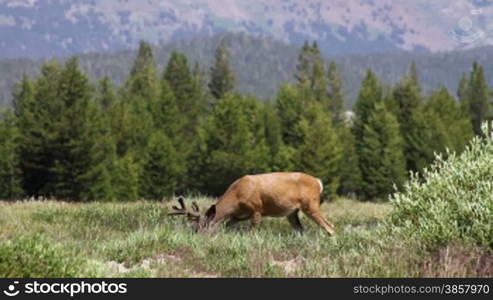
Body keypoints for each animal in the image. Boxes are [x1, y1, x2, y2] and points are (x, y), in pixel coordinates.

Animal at [168, 172, 334, 236]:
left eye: (199, 228)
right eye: (192, 227)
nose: (192, 238)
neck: (236, 196)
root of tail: (319, 183)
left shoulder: (256, 209)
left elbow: (252, 232)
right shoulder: (238, 216)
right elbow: (227, 225)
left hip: (311, 205)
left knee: (330, 227)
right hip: (292, 212)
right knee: (300, 230)